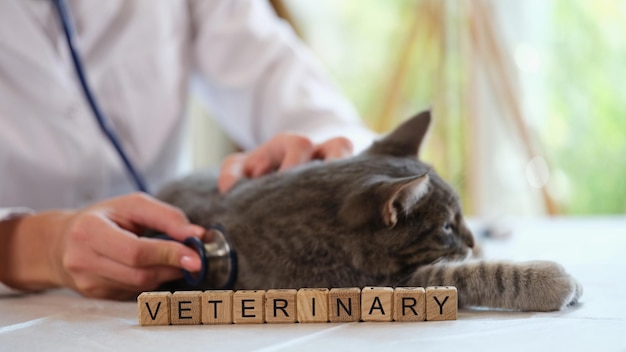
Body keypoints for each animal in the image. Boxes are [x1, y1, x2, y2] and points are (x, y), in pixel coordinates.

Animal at [155, 110, 580, 310]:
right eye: (446, 226)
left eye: (461, 217)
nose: (474, 240)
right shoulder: (391, 284)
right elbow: (478, 274)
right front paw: (551, 280)